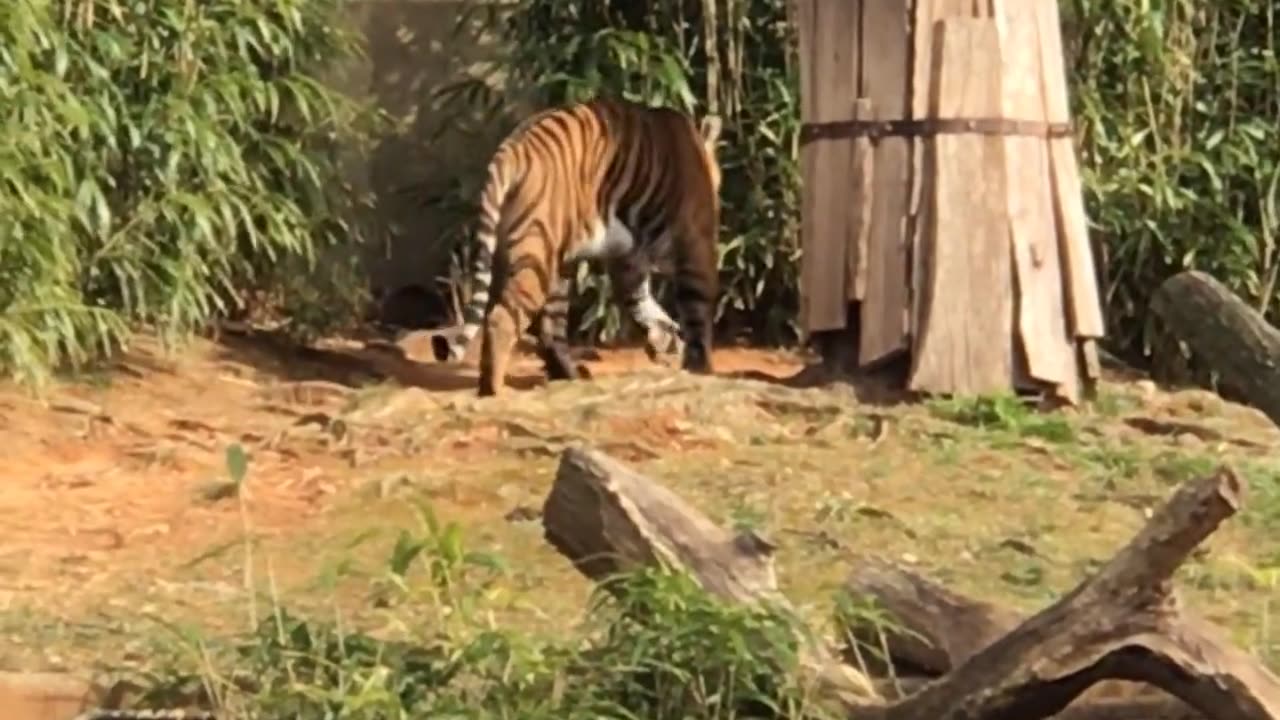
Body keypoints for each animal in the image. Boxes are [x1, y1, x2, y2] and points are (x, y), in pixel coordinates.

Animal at [429, 96, 724, 397]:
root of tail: (511, 148)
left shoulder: (629, 261)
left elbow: (641, 304)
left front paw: (666, 338)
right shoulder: (695, 243)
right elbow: (697, 309)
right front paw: (700, 366)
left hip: (553, 265)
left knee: (549, 326)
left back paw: (569, 375)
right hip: (539, 253)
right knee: (503, 319)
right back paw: (494, 391)